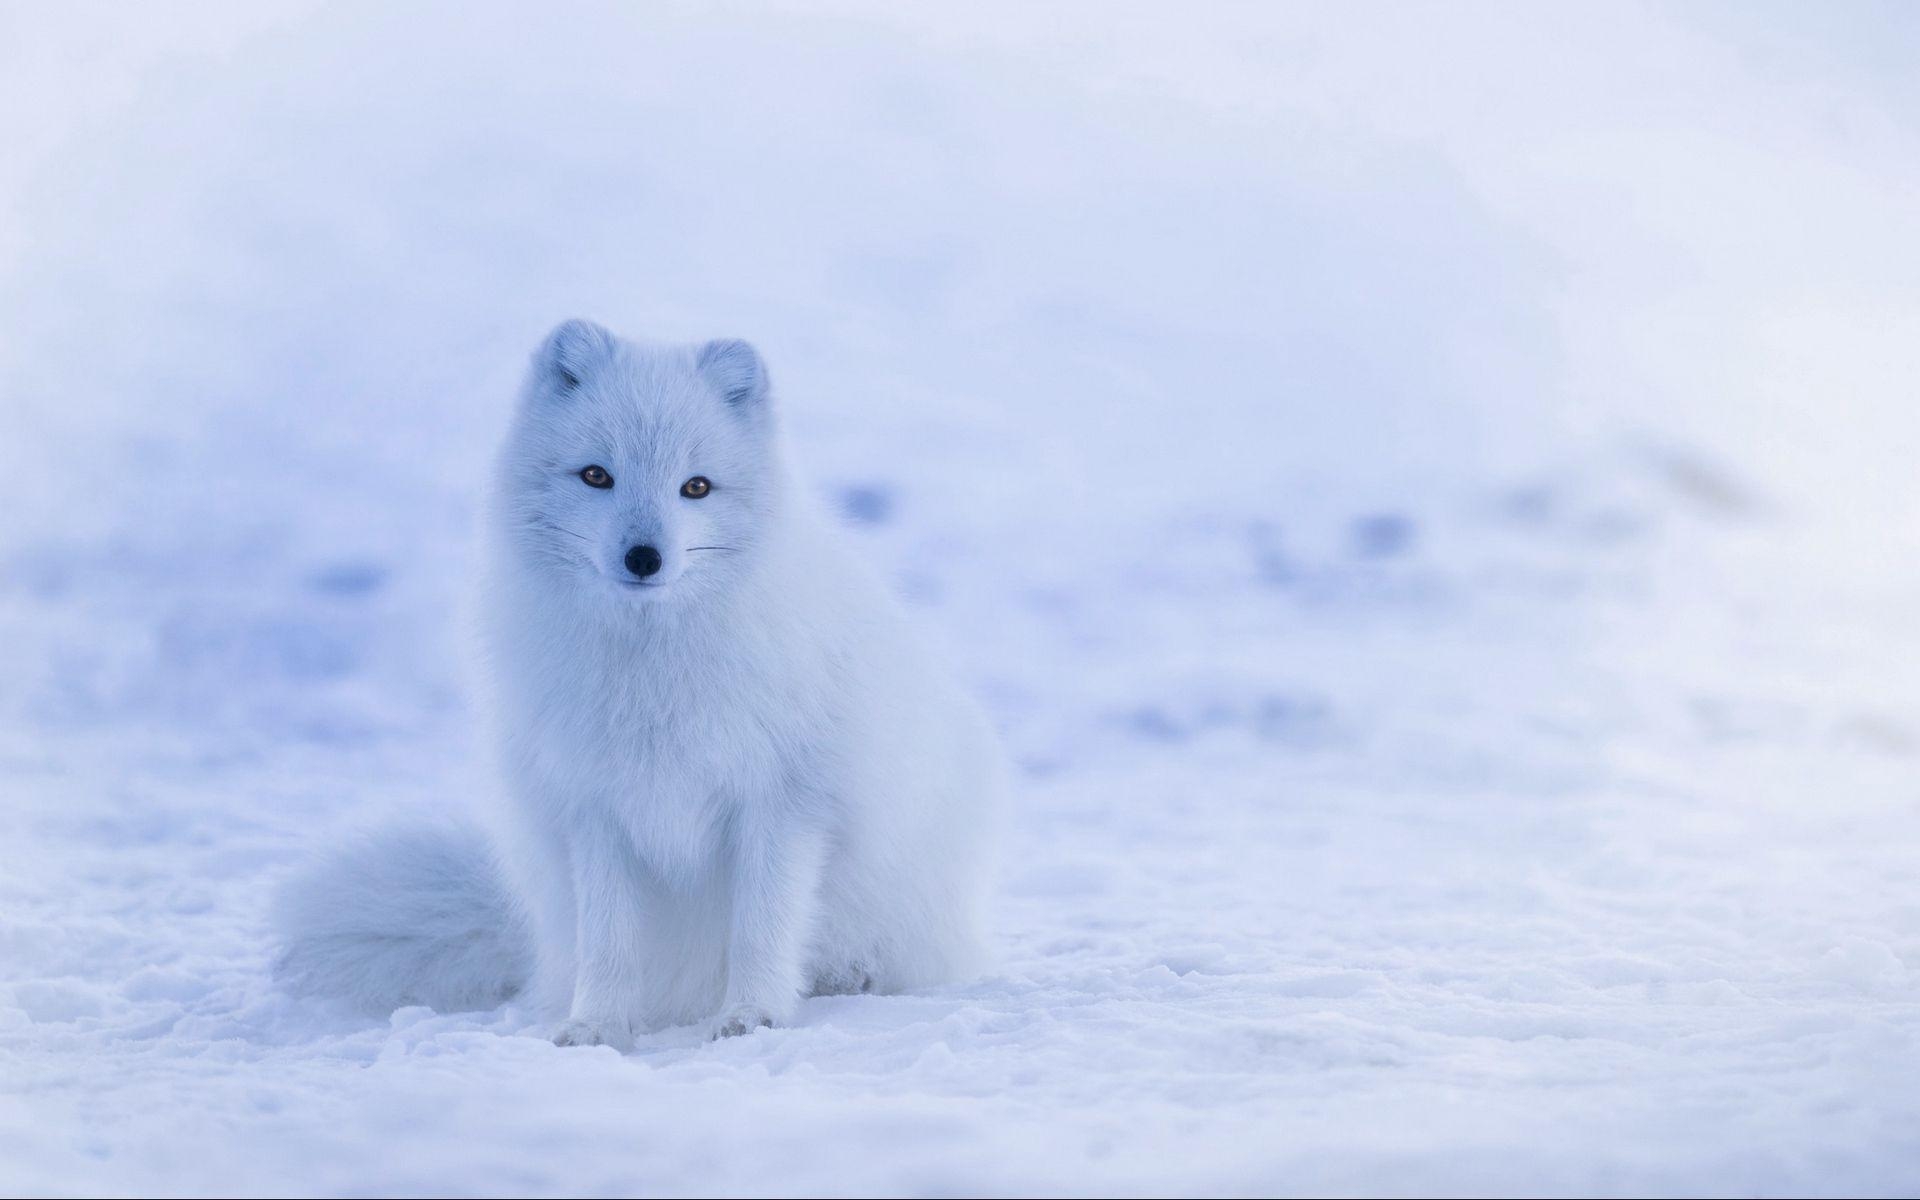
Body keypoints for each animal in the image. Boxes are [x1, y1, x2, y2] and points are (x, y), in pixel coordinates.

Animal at [274, 318, 1006, 1036]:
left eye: (697, 486)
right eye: (597, 475)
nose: (644, 557)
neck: (650, 670)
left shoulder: (783, 802)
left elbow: (762, 926)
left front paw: (752, 1013)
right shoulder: (595, 808)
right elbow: (609, 940)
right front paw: (598, 1025)